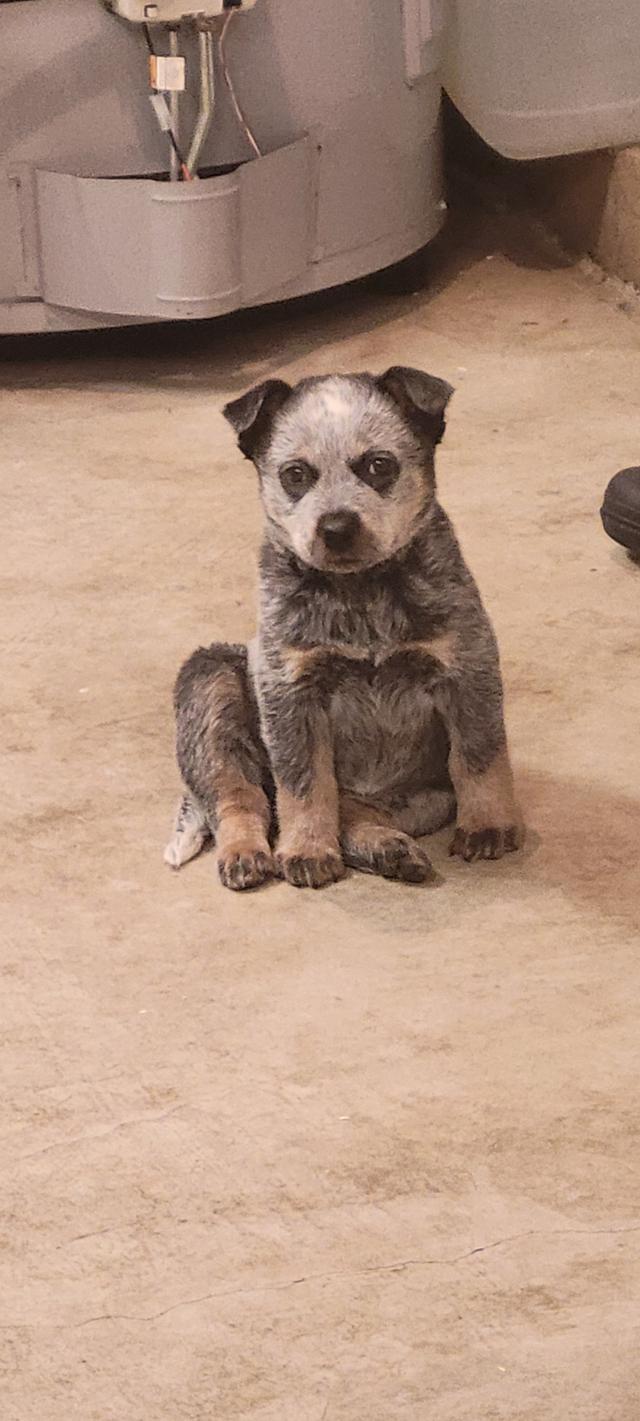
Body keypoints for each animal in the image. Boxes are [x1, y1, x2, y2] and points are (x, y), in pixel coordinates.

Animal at [164, 366, 526, 886]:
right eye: (296, 474)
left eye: (378, 465)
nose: (336, 527)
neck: (360, 595)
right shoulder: (290, 688)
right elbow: (305, 784)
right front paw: (307, 850)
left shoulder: (465, 667)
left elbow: (479, 757)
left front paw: (487, 825)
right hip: (210, 677)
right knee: (242, 798)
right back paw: (247, 852)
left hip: (424, 800)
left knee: (351, 814)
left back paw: (389, 848)